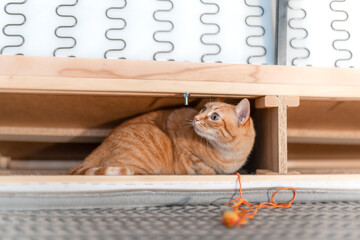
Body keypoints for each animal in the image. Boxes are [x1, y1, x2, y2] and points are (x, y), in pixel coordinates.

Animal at [68, 98, 256, 175]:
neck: (229, 154)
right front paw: (210, 172)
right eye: (203, 109)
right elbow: (203, 167)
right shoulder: (185, 148)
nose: (195, 118)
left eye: (214, 116)